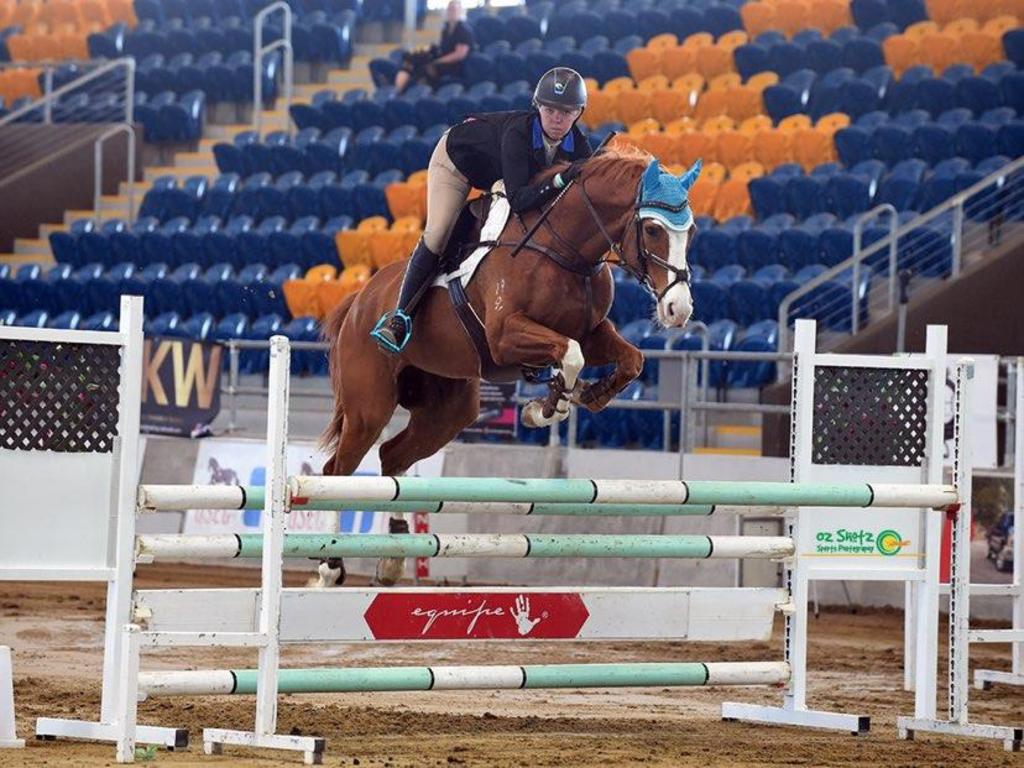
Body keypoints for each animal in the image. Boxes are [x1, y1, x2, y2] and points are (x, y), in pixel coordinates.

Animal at [317, 145, 704, 589]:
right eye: (654, 229)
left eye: (691, 231)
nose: (679, 309)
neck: (566, 251)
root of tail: (358, 300)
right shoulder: (505, 337)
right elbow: (571, 354)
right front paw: (548, 407)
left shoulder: (593, 333)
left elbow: (630, 360)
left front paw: (586, 395)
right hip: (370, 406)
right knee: (337, 470)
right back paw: (330, 564)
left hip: (447, 411)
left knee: (391, 456)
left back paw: (392, 555)